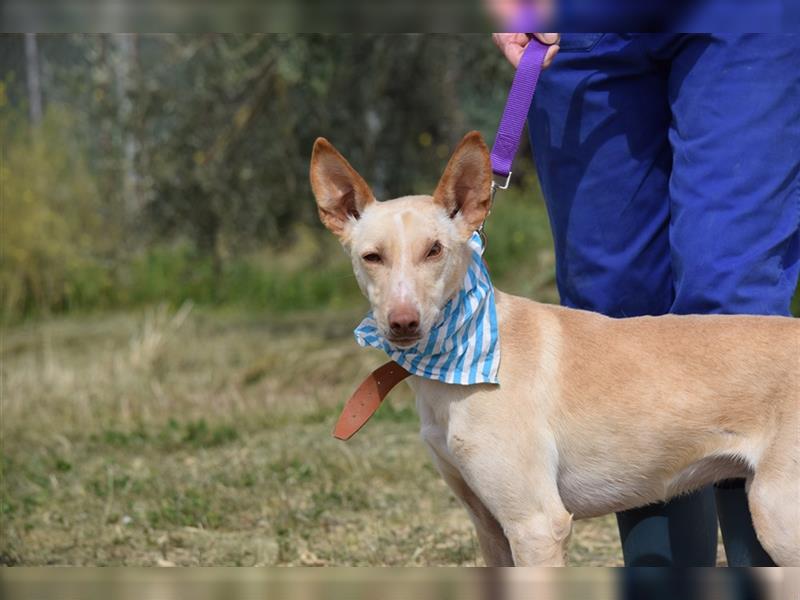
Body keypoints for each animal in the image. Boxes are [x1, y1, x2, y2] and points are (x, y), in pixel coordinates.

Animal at [310, 129, 800, 564]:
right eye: (372, 257)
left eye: (434, 250)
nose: (402, 323)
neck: (459, 359)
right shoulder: (489, 527)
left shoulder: (536, 525)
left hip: (776, 514)